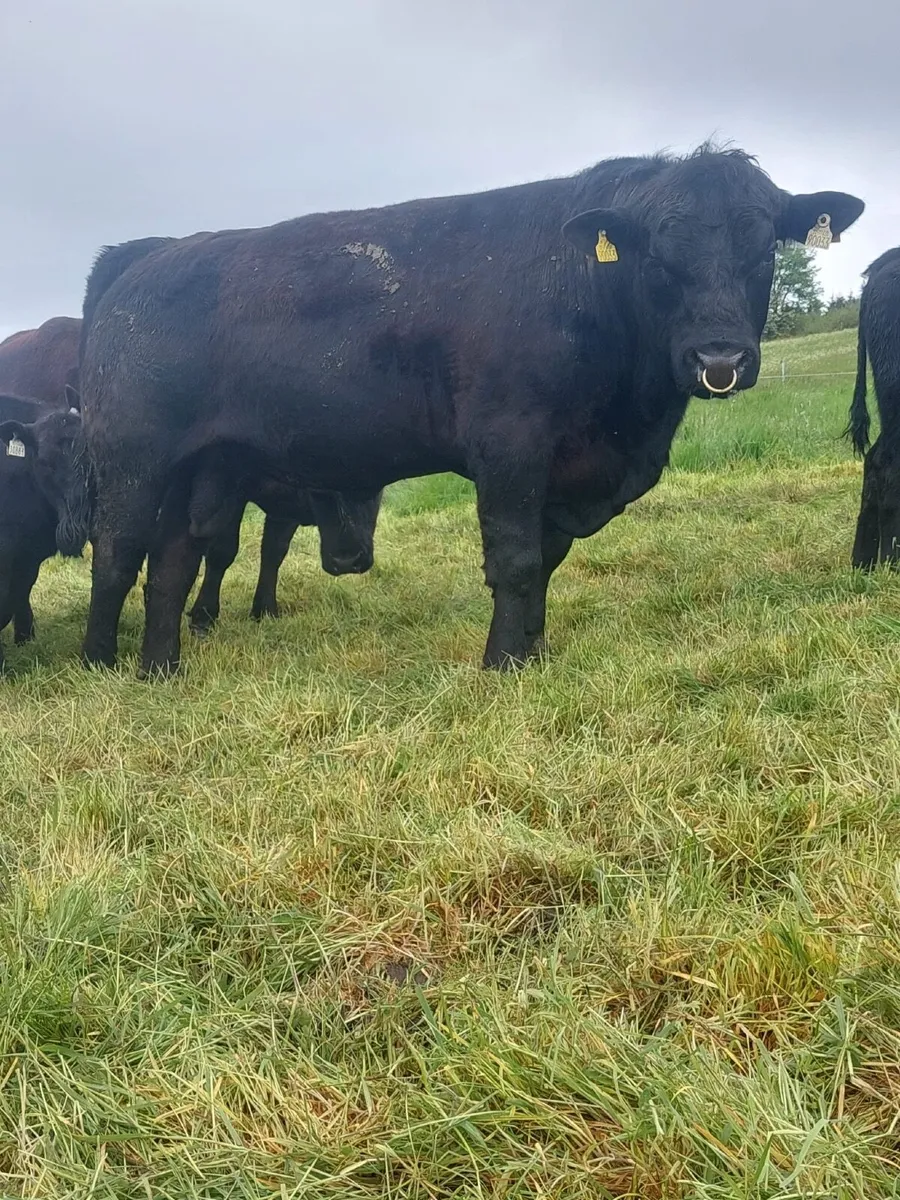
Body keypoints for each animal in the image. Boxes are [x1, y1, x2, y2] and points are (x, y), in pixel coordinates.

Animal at [0, 393, 91, 669]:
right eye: (44, 463)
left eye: (90, 455)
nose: (78, 521)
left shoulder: (27, 556)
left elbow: (16, 597)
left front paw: (24, 638)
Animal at [77, 145, 864, 677]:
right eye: (657, 256)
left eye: (764, 250)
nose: (718, 359)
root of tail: (145, 259)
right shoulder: (510, 444)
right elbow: (514, 560)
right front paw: (503, 663)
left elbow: (545, 562)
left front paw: (534, 650)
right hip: (133, 456)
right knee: (118, 555)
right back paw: (98, 661)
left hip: (209, 467)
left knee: (175, 559)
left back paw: (160, 668)